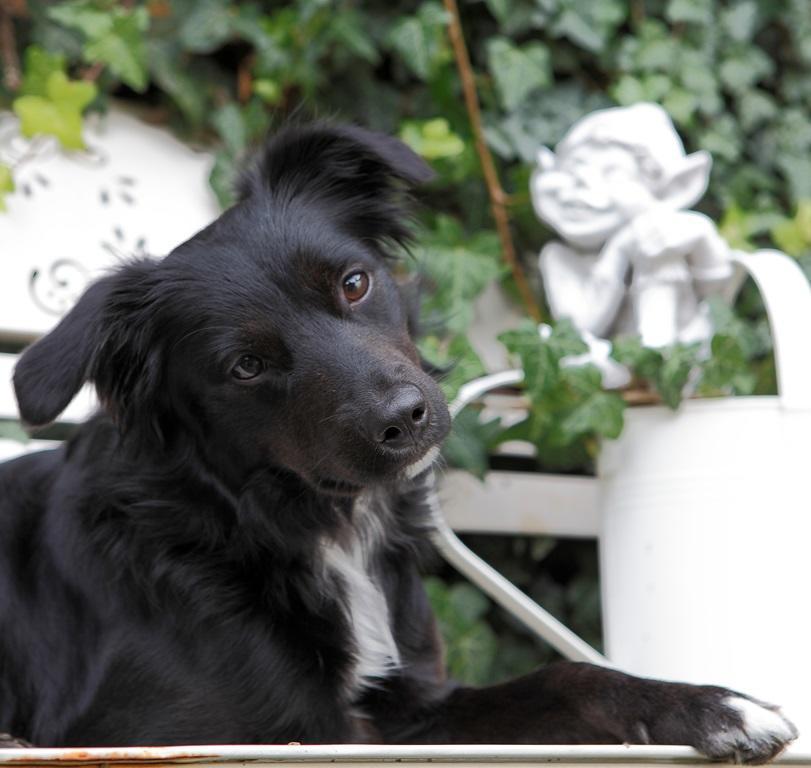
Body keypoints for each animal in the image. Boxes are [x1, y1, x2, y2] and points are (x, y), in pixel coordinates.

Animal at [0, 123, 800, 760]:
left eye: (353, 283)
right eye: (245, 366)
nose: (405, 417)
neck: (311, 525)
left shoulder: (417, 709)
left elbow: (564, 677)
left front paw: (711, 705)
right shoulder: (208, 730)